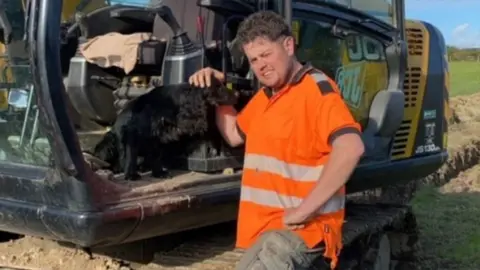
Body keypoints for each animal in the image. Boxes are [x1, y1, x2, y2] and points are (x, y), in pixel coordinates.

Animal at [91, 80, 237, 181]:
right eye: (218, 87)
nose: (237, 93)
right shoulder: (133, 133)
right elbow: (130, 156)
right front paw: (131, 175)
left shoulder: (157, 137)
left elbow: (156, 156)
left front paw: (158, 172)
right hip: (108, 143)